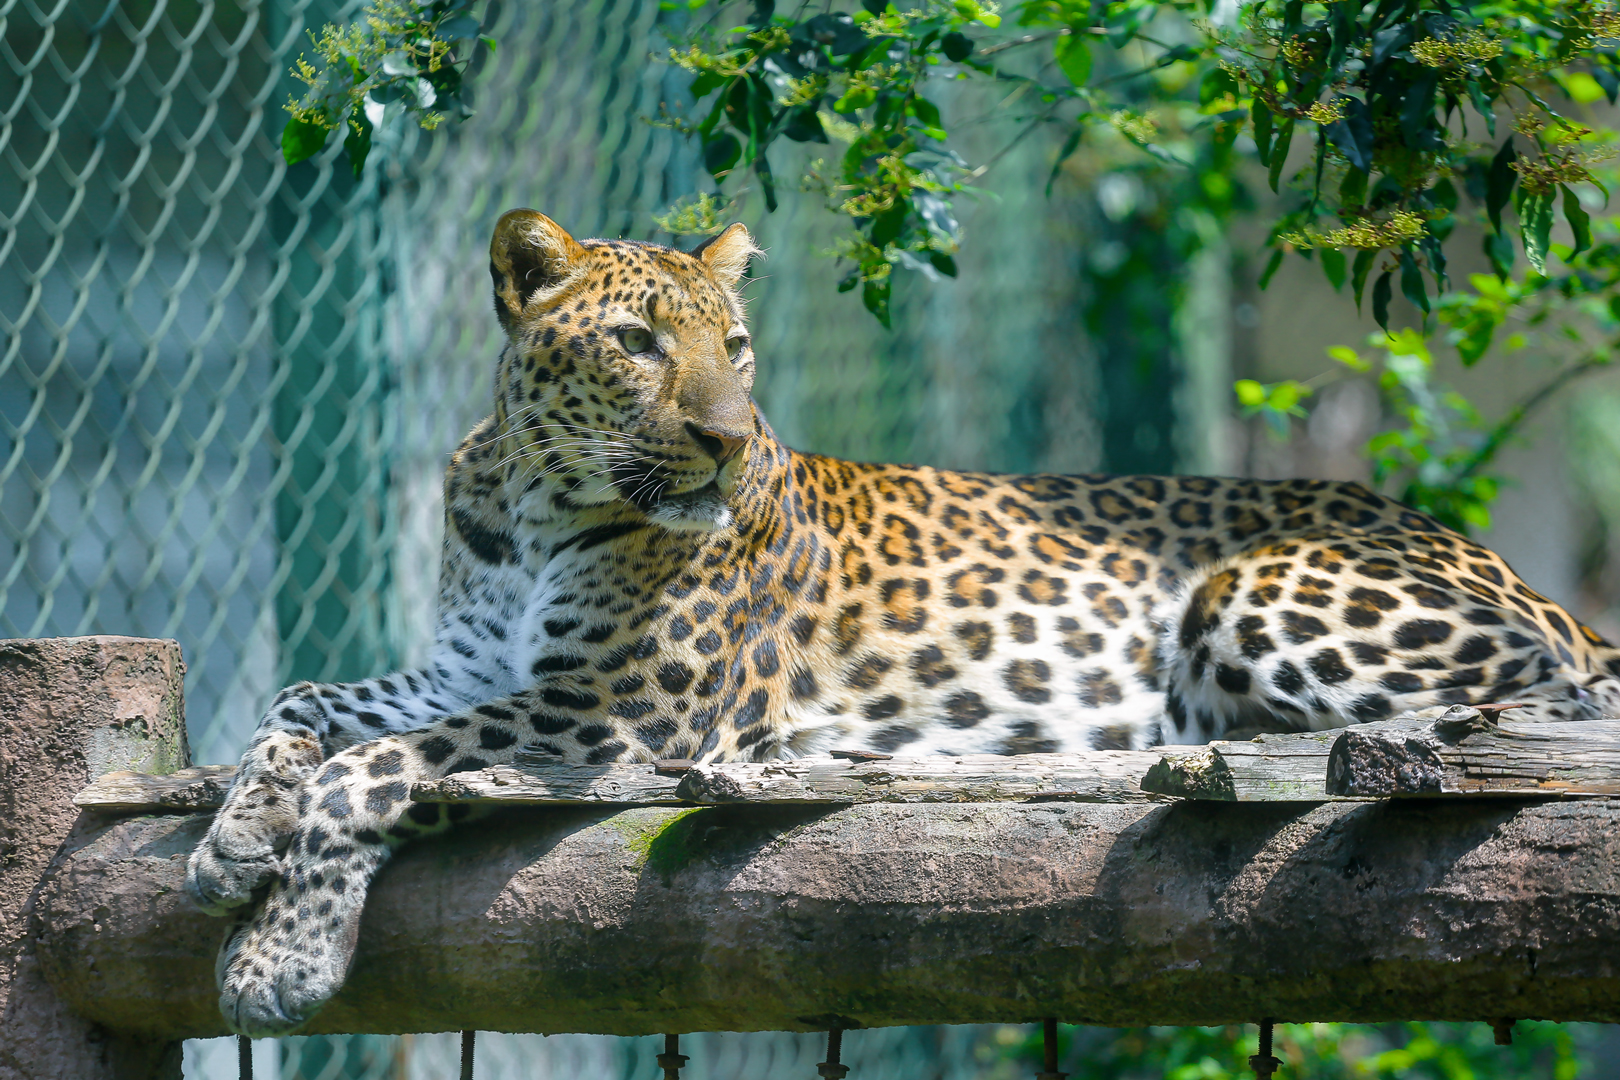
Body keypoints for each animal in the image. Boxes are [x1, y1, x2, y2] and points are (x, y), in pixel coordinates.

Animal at [188, 207, 1620, 1036]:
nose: (722, 443)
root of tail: (1509, 565)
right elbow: (305, 704)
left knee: (1540, 714)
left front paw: (281, 957)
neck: (535, 501)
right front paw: (234, 834)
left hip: (1254, 590)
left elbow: (375, 765)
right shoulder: (471, 670)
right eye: (639, 342)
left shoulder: (618, 714)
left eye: (736, 345)